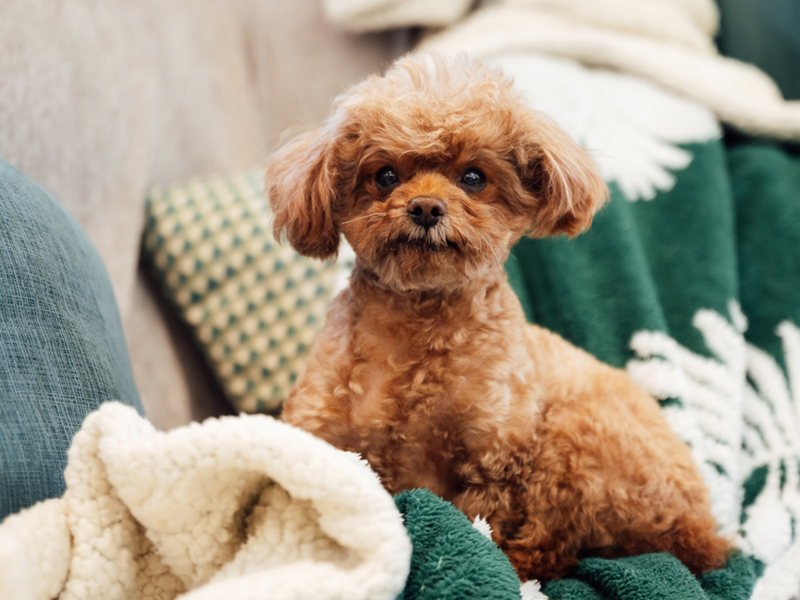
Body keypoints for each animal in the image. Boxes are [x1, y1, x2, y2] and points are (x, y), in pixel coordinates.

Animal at [264, 52, 732, 580]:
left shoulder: (494, 459)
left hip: (573, 441)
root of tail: (700, 529)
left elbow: (477, 529)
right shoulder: (325, 437)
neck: (421, 323)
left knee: (551, 547)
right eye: (384, 175)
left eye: (473, 177)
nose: (425, 207)